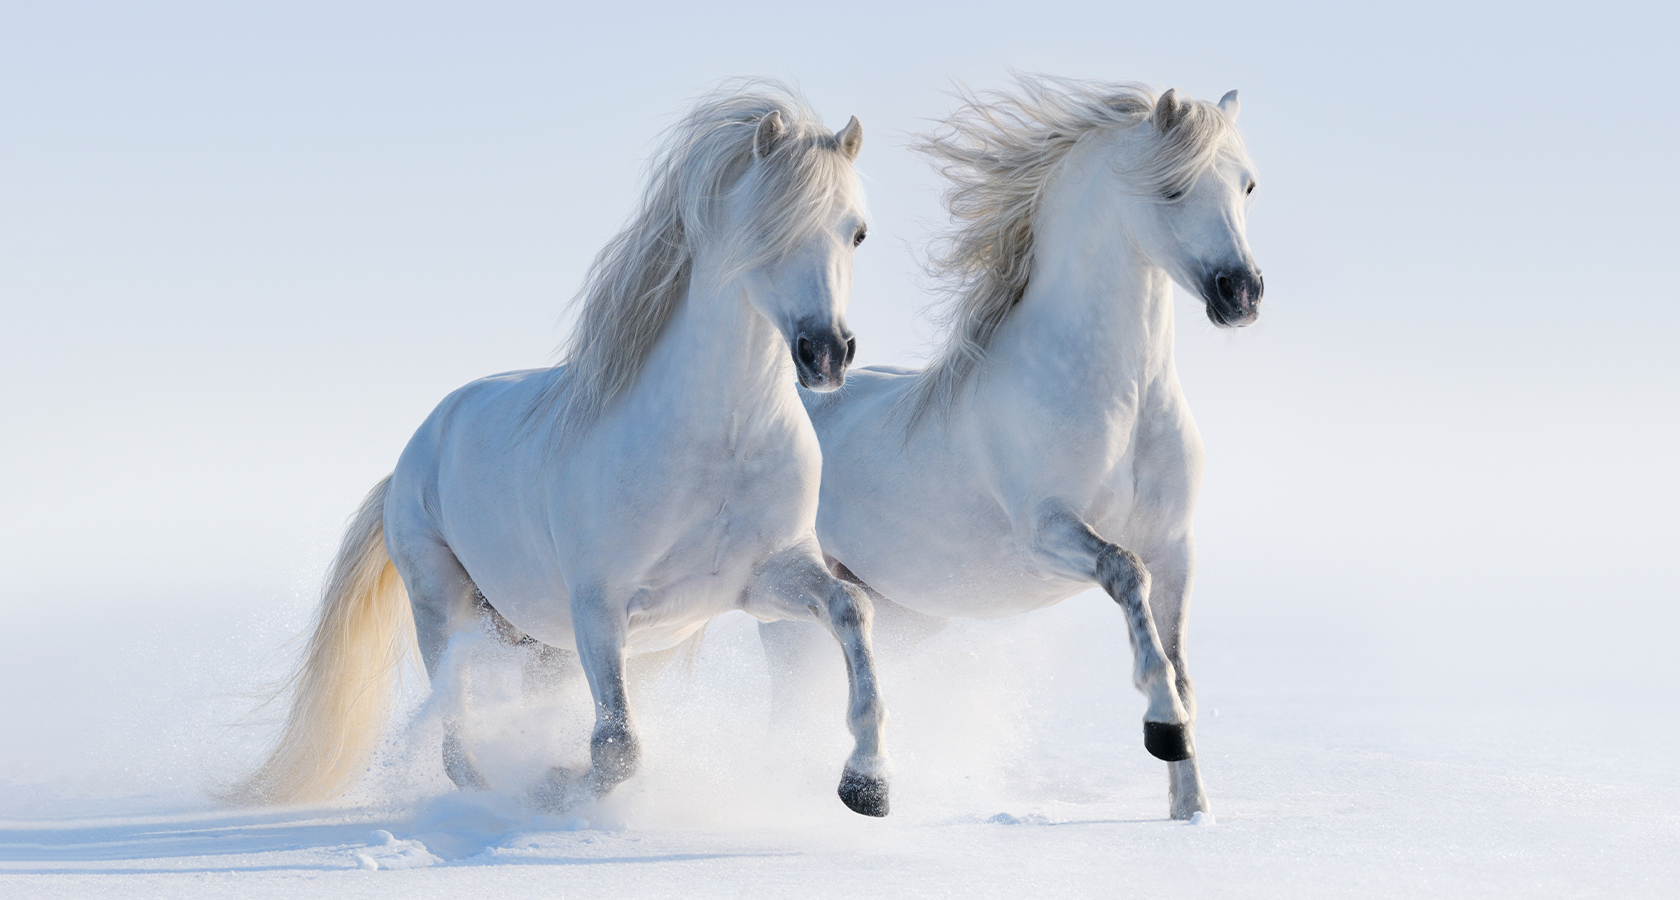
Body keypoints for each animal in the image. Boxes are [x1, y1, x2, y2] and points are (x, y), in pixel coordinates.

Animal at [235, 83, 891, 817]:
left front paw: (867, 783)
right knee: (457, 732)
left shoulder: (765, 579)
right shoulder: (599, 607)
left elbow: (852, 609)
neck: (718, 443)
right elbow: (616, 748)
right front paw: (555, 788)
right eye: (768, 228)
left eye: (856, 231)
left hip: (537, 640)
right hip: (445, 605)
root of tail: (412, 455)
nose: (826, 353)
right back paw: (493, 793)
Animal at [762, 77, 1262, 821]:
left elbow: (1181, 665)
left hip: (905, 613)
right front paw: (1163, 731)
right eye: (1173, 188)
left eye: (1247, 185)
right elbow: (1127, 577)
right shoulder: (1048, 532)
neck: (1124, 397)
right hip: (788, 606)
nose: (1242, 293)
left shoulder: (1177, 545)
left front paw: (1191, 809)